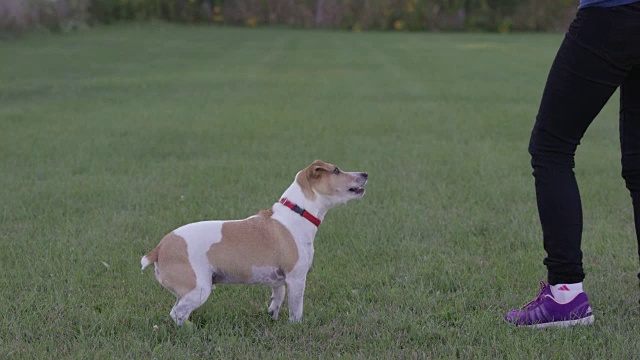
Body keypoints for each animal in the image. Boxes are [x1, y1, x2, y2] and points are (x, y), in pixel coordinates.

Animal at [142, 159, 368, 324]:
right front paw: (297, 327)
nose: (365, 174)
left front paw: (272, 317)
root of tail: (159, 249)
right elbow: (296, 309)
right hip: (198, 290)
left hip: (188, 291)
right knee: (177, 314)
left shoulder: (279, 281)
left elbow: (277, 299)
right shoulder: (297, 279)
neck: (297, 213)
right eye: (336, 170)